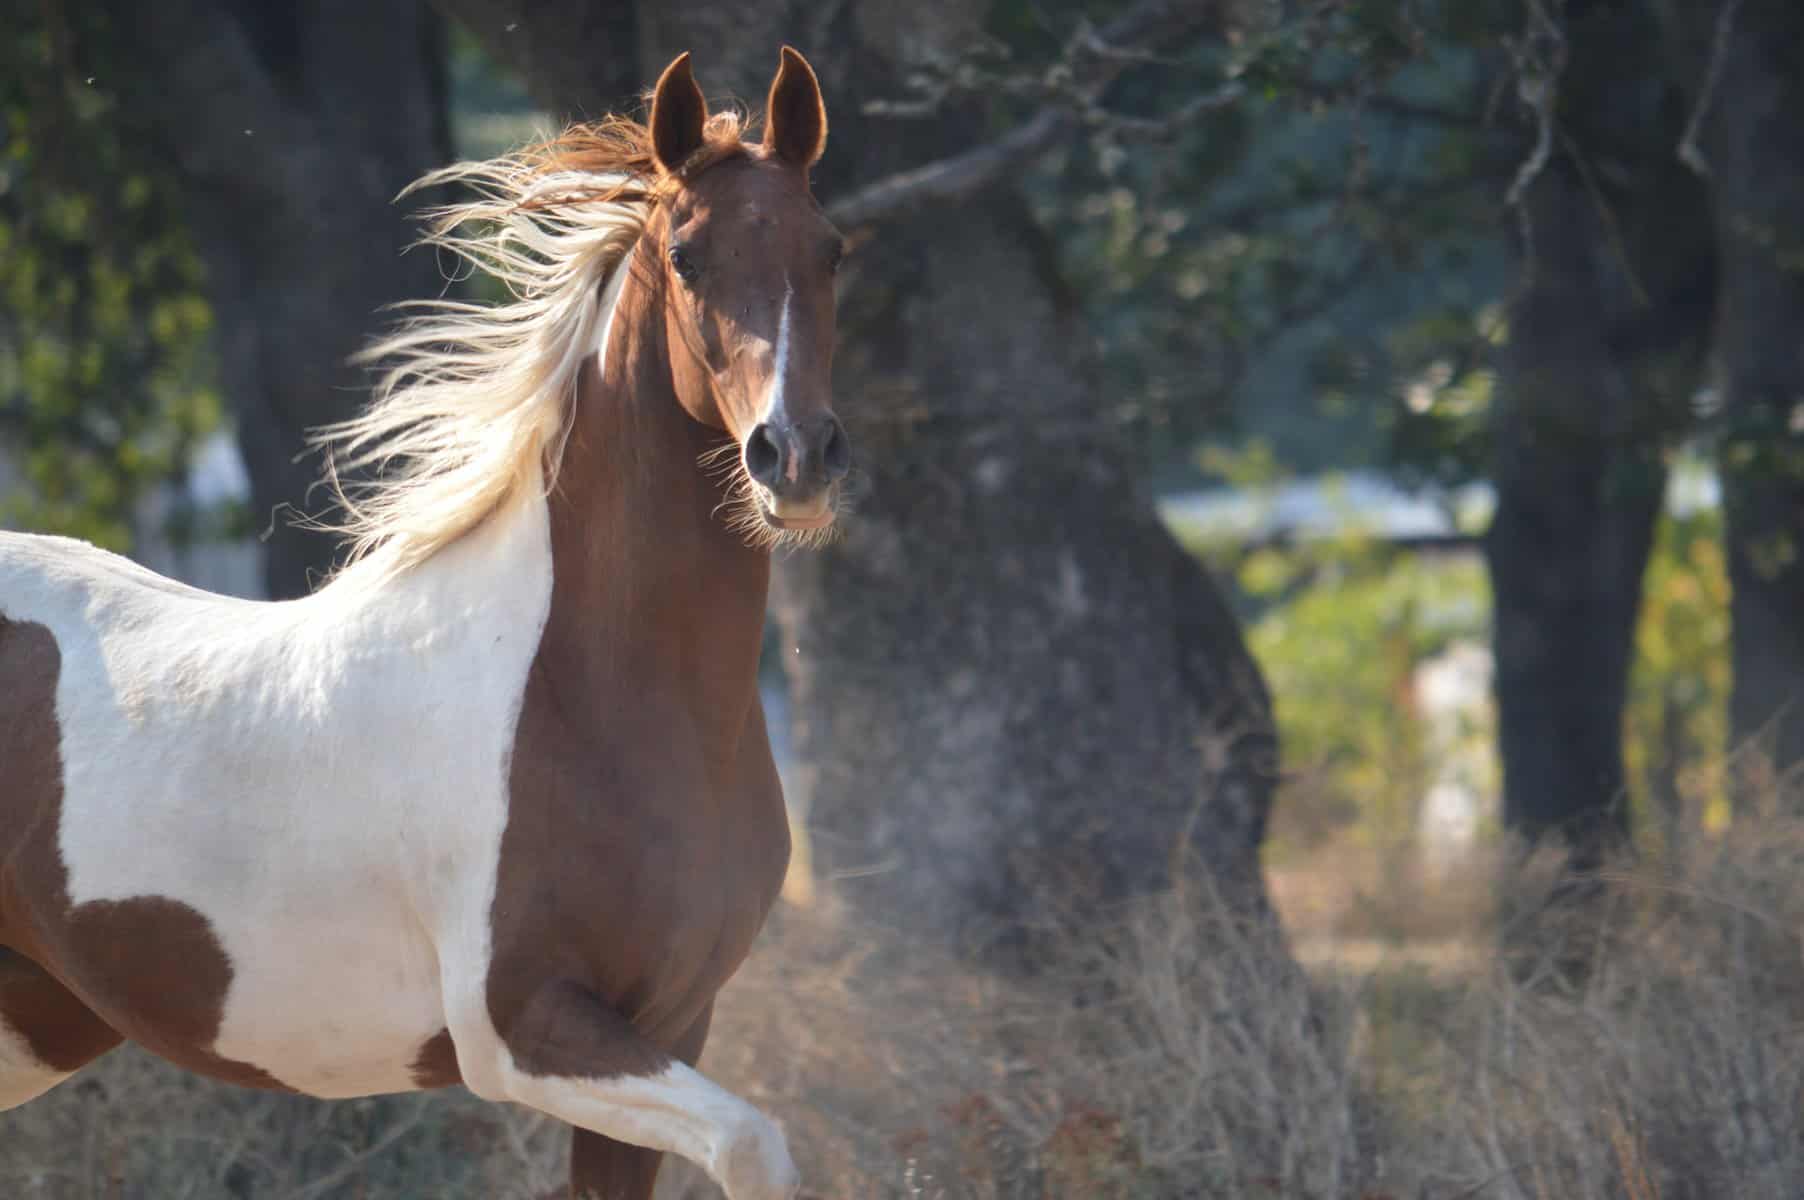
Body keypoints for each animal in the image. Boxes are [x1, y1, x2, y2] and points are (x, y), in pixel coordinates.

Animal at [0, 47, 845, 1200]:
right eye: (688, 256)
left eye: (831, 249)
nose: (794, 458)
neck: (582, 700)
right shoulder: (524, 1029)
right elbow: (755, 1142)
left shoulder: (674, 1020)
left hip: (34, 1019)